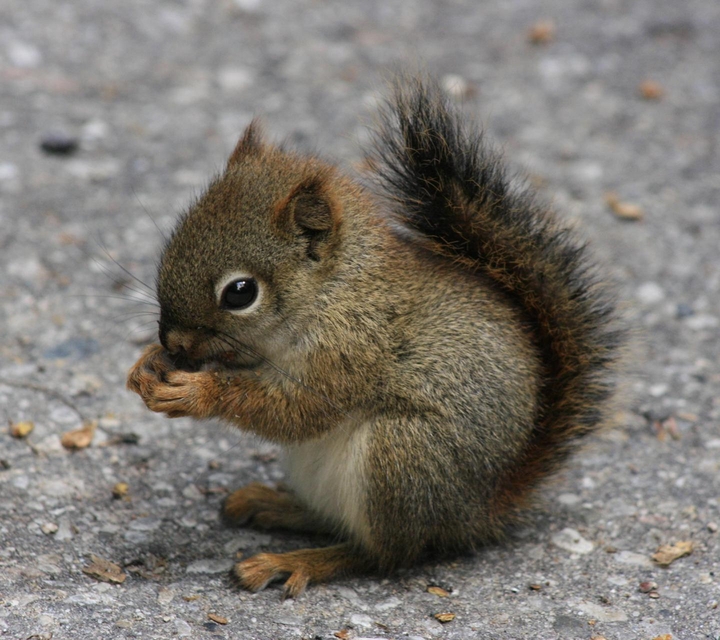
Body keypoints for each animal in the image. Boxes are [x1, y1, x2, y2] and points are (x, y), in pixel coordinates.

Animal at [127, 76, 622, 597]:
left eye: (240, 293)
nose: (174, 342)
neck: (334, 291)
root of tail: (479, 512)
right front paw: (147, 365)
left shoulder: (351, 350)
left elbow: (297, 411)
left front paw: (196, 392)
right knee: (334, 521)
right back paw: (275, 505)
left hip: (402, 456)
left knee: (383, 554)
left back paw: (296, 561)